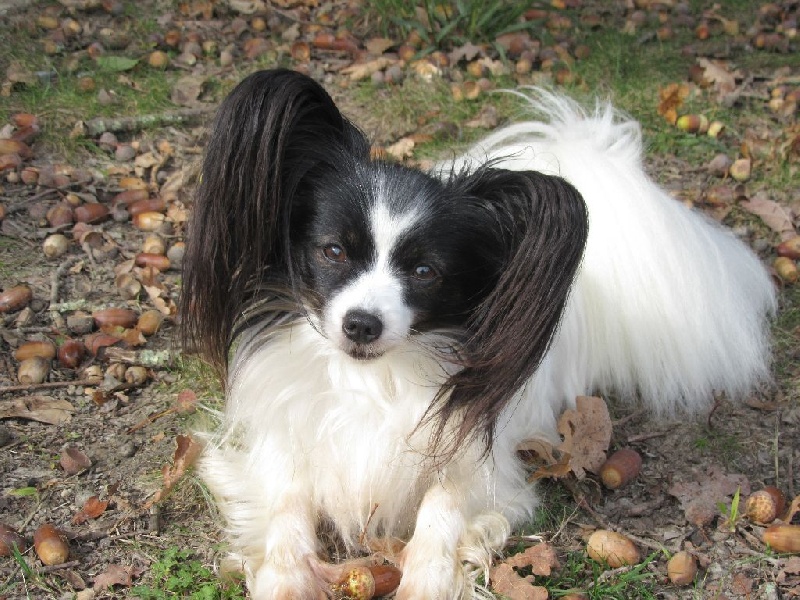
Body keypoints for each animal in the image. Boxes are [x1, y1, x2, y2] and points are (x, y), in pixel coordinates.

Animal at [180, 68, 776, 596]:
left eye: (425, 272)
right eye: (333, 251)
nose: (361, 324)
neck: (377, 378)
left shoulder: (479, 460)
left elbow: (439, 511)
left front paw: (428, 583)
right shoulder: (284, 440)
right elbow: (287, 507)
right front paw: (284, 581)